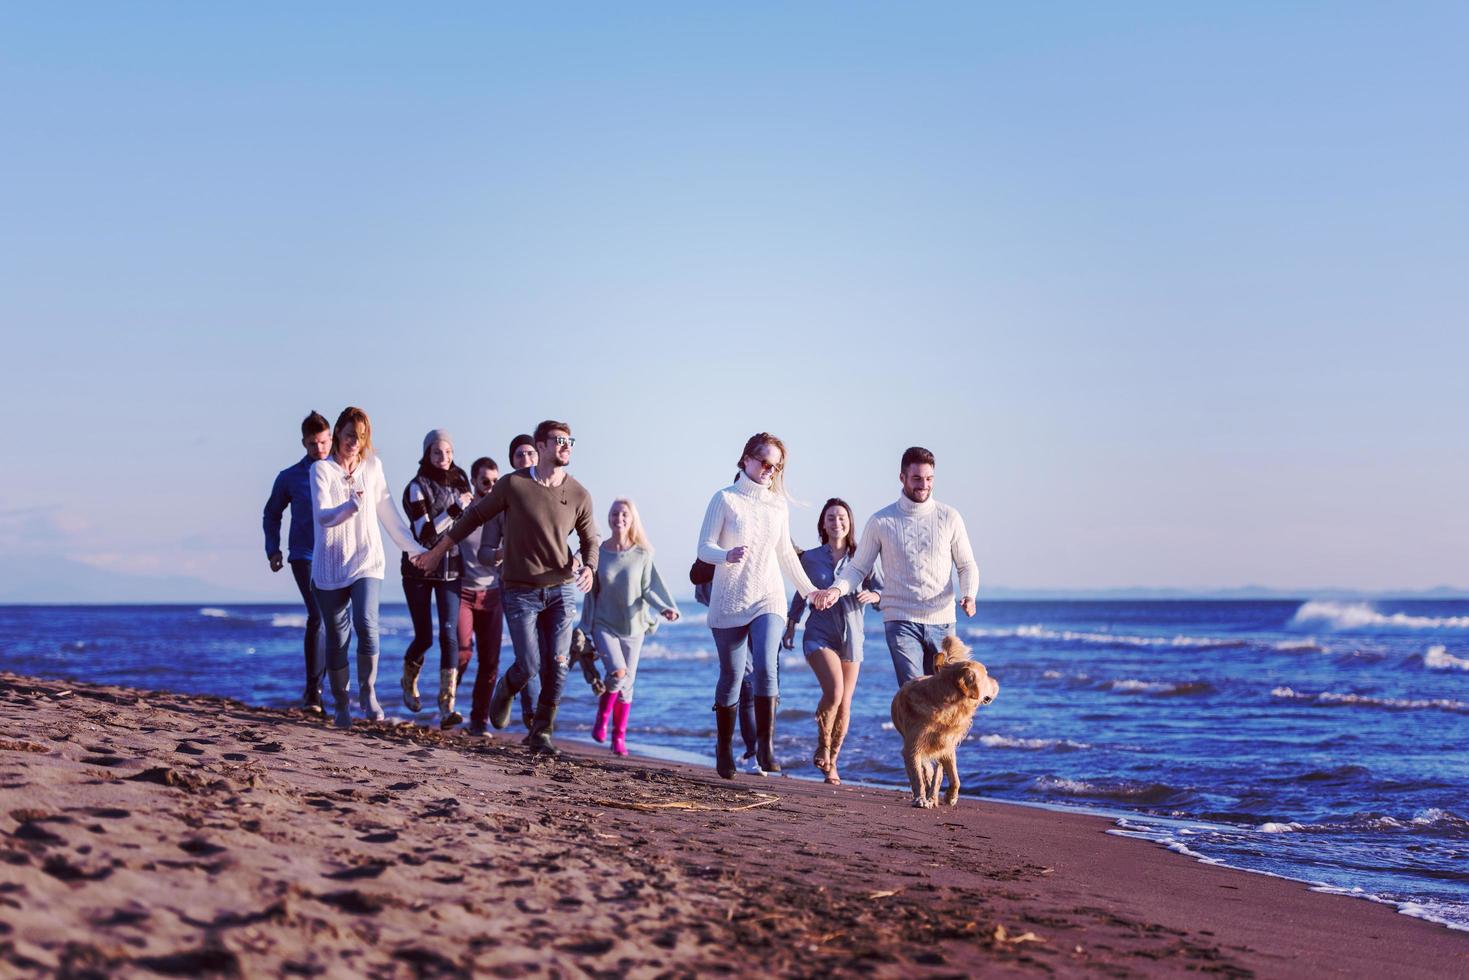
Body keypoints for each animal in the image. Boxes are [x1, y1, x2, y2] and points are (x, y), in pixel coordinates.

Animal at [881, 637, 998, 805]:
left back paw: (933, 797)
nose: (997, 682)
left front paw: (950, 796)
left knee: (938, 772)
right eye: (986, 675)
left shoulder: (947, 746)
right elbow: (917, 776)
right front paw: (920, 798)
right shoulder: (912, 747)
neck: (945, 706)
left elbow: (954, 778)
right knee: (926, 769)